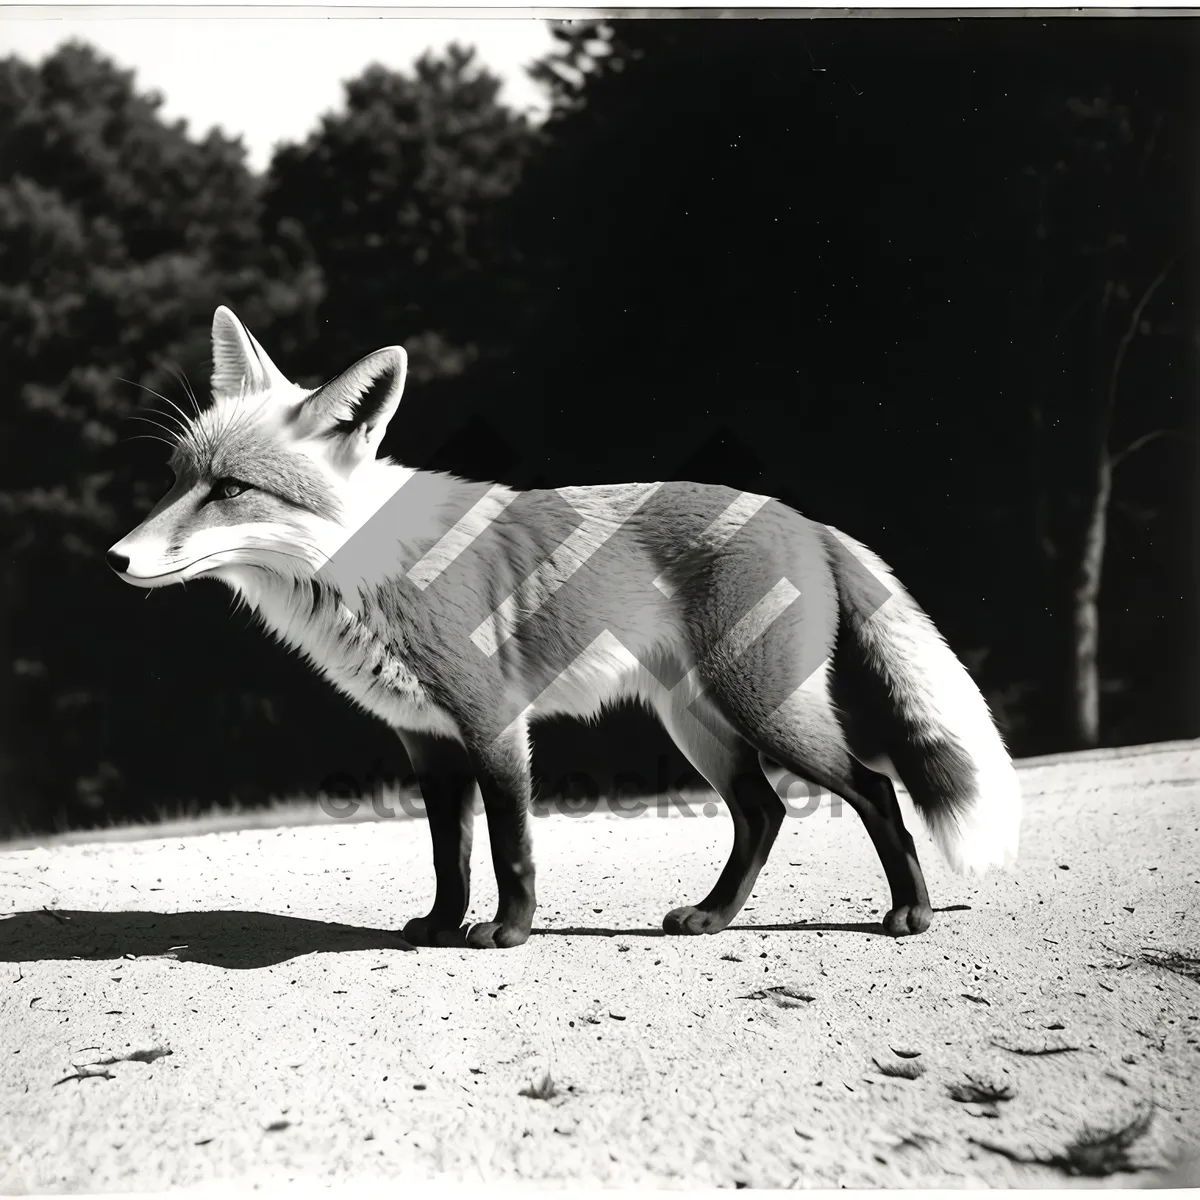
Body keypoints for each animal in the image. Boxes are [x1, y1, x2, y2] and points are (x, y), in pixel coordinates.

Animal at [108, 307, 1022, 945]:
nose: (115, 560)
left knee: (873, 788)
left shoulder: (493, 721)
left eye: (230, 490)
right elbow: (448, 854)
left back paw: (910, 914)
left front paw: (507, 935)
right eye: (176, 478)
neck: (370, 573)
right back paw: (713, 917)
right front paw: (439, 929)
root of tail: (803, 516)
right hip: (697, 721)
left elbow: (510, 846)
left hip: (764, 710)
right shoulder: (426, 740)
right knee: (763, 813)